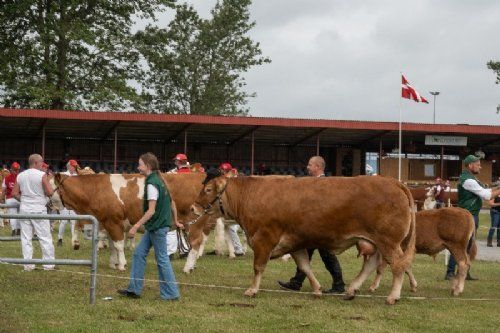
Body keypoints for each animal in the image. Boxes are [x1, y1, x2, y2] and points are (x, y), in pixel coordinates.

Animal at [191, 174, 414, 304]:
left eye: (208, 190)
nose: (193, 208)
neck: (250, 195)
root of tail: (394, 182)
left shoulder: (264, 238)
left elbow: (258, 267)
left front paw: (252, 290)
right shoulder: (295, 242)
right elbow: (305, 266)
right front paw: (317, 290)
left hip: (388, 241)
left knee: (398, 265)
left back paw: (393, 296)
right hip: (377, 242)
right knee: (372, 264)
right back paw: (351, 290)